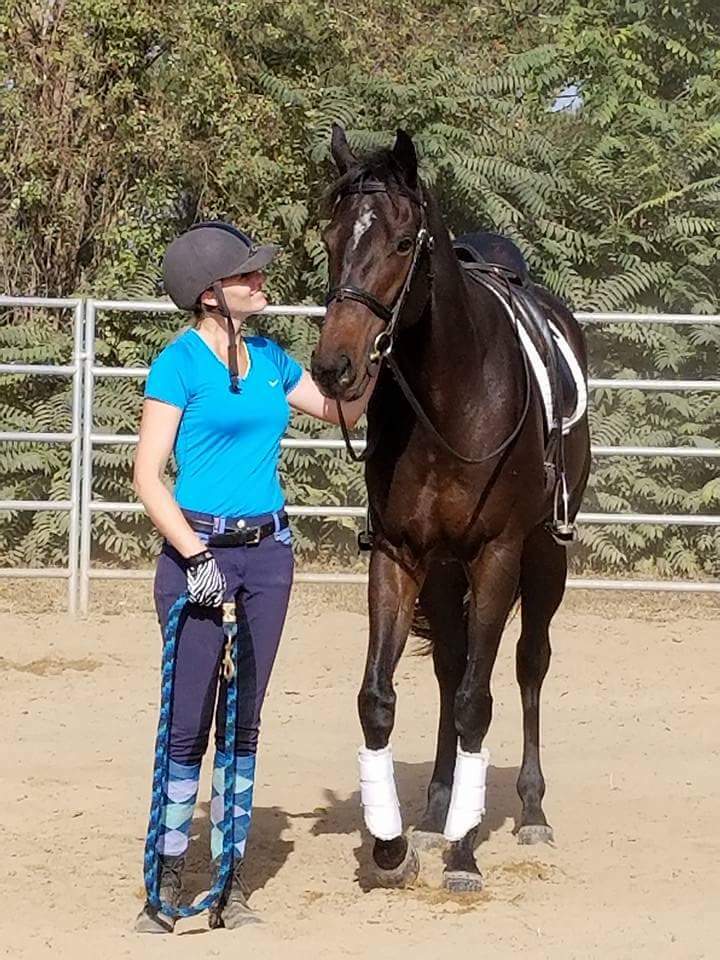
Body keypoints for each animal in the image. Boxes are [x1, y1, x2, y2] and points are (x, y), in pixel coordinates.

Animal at [310, 125, 591, 892]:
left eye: (404, 242)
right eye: (331, 234)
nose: (334, 368)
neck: (451, 395)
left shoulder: (497, 555)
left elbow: (477, 700)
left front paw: (466, 852)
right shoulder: (400, 554)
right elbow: (380, 697)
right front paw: (391, 846)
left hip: (544, 557)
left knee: (527, 664)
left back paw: (530, 811)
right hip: (442, 569)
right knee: (450, 664)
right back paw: (436, 810)